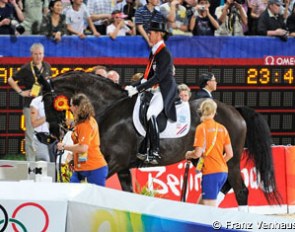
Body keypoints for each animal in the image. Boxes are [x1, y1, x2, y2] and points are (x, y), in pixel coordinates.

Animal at [41, 70, 280, 205]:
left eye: (47, 101)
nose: (52, 135)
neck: (110, 107)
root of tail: (235, 110)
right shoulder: (123, 167)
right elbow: (127, 195)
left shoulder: (114, 162)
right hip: (205, 158)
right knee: (225, 186)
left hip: (230, 159)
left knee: (241, 191)